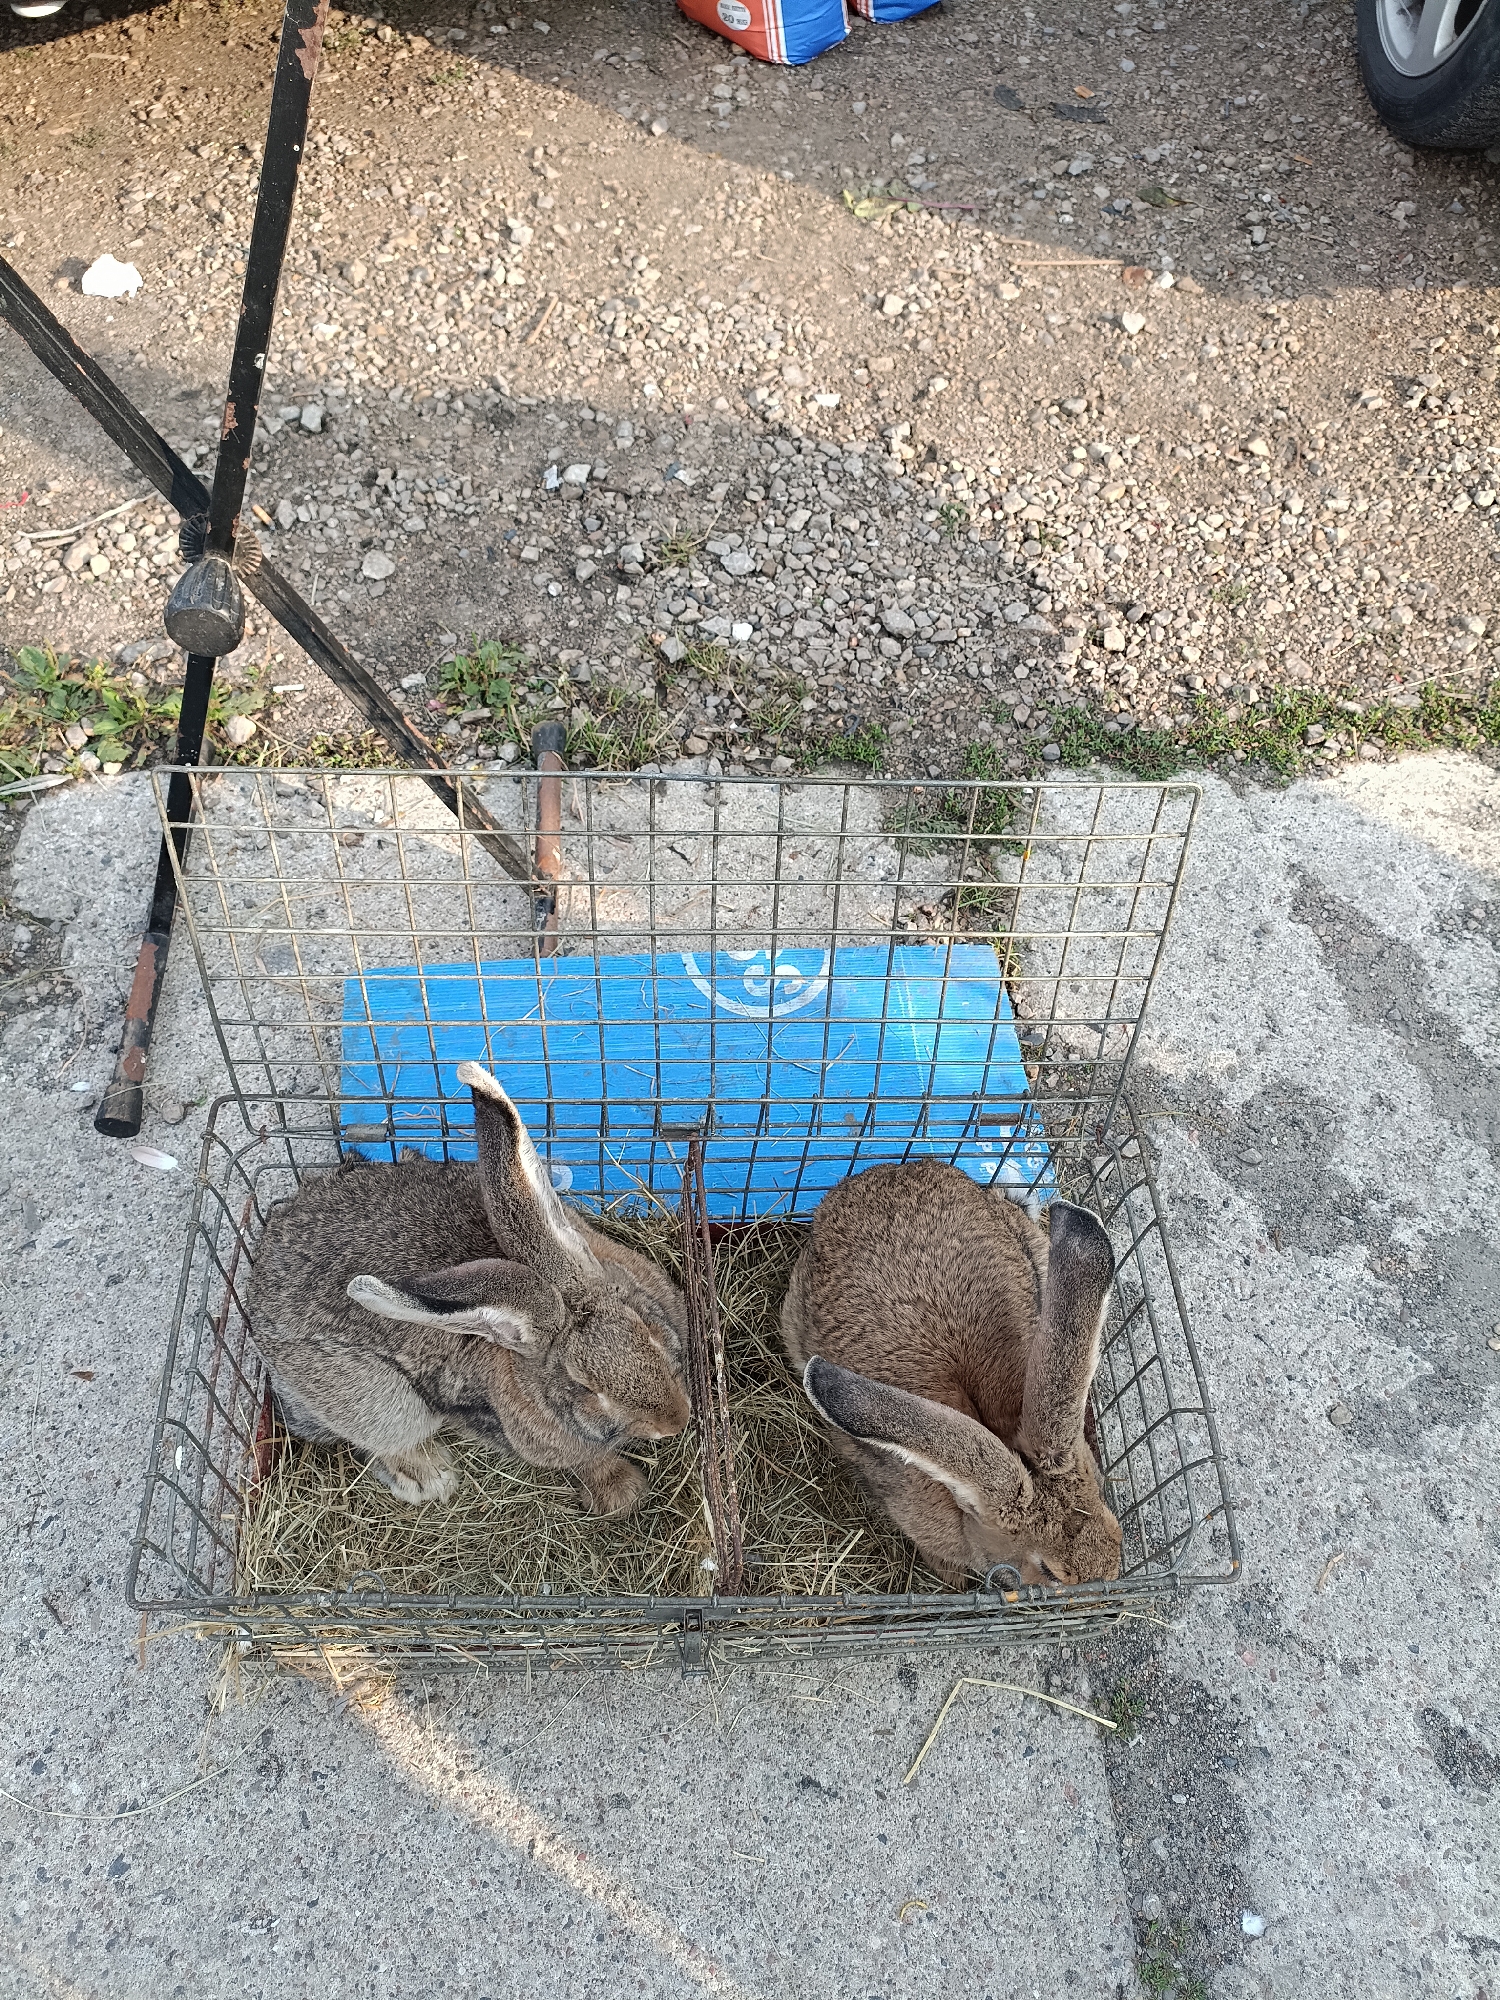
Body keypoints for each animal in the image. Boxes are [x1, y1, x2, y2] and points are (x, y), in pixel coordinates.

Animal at [247, 1061, 690, 1519]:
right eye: (584, 1386)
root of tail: (259, 1270)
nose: (676, 1421)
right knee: (375, 1440)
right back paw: (429, 1477)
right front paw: (622, 1492)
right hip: (382, 1404)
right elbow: (589, 1461)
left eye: (648, 1333)